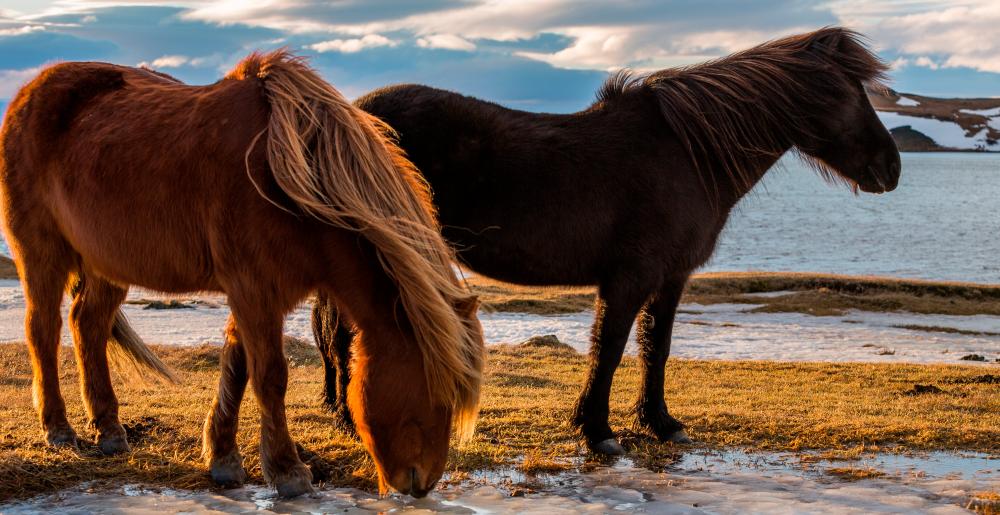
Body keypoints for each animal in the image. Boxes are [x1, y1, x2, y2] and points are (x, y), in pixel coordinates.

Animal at [0, 50, 484, 498]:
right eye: (435, 390)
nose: (421, 483)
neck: (280, 176)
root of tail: (32, 91)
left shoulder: (253, 292)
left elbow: (236, 368)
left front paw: (223, 459)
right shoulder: (254, 290)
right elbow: (270, 376)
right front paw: (287, 472)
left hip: (108, 263)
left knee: (89, 325)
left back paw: (109, 430)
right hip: (41, 253)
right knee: (43, 330)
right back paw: (59, 429)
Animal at [310, 28, 900, 456]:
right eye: (847, 93)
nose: (891, 169)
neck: (687, 155)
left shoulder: (671, 279)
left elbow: (656, 349)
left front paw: (661, 424)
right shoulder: (629, 279)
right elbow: (610, 350)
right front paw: (598, 432)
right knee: (341, 335)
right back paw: (348, 420)